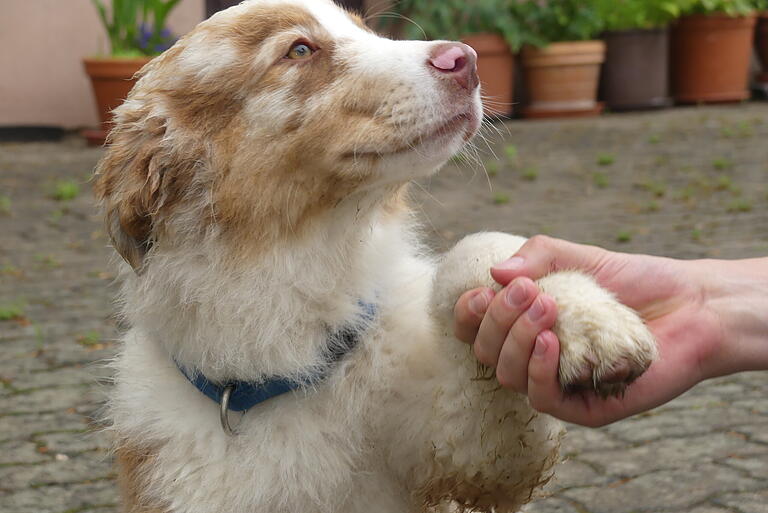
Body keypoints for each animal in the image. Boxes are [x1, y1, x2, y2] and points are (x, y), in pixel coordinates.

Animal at [94, 2, 660, 510]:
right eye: (300, 50)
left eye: (366, 30)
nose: (466, 59)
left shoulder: (469, 455)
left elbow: (476, 251)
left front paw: (585, 318)